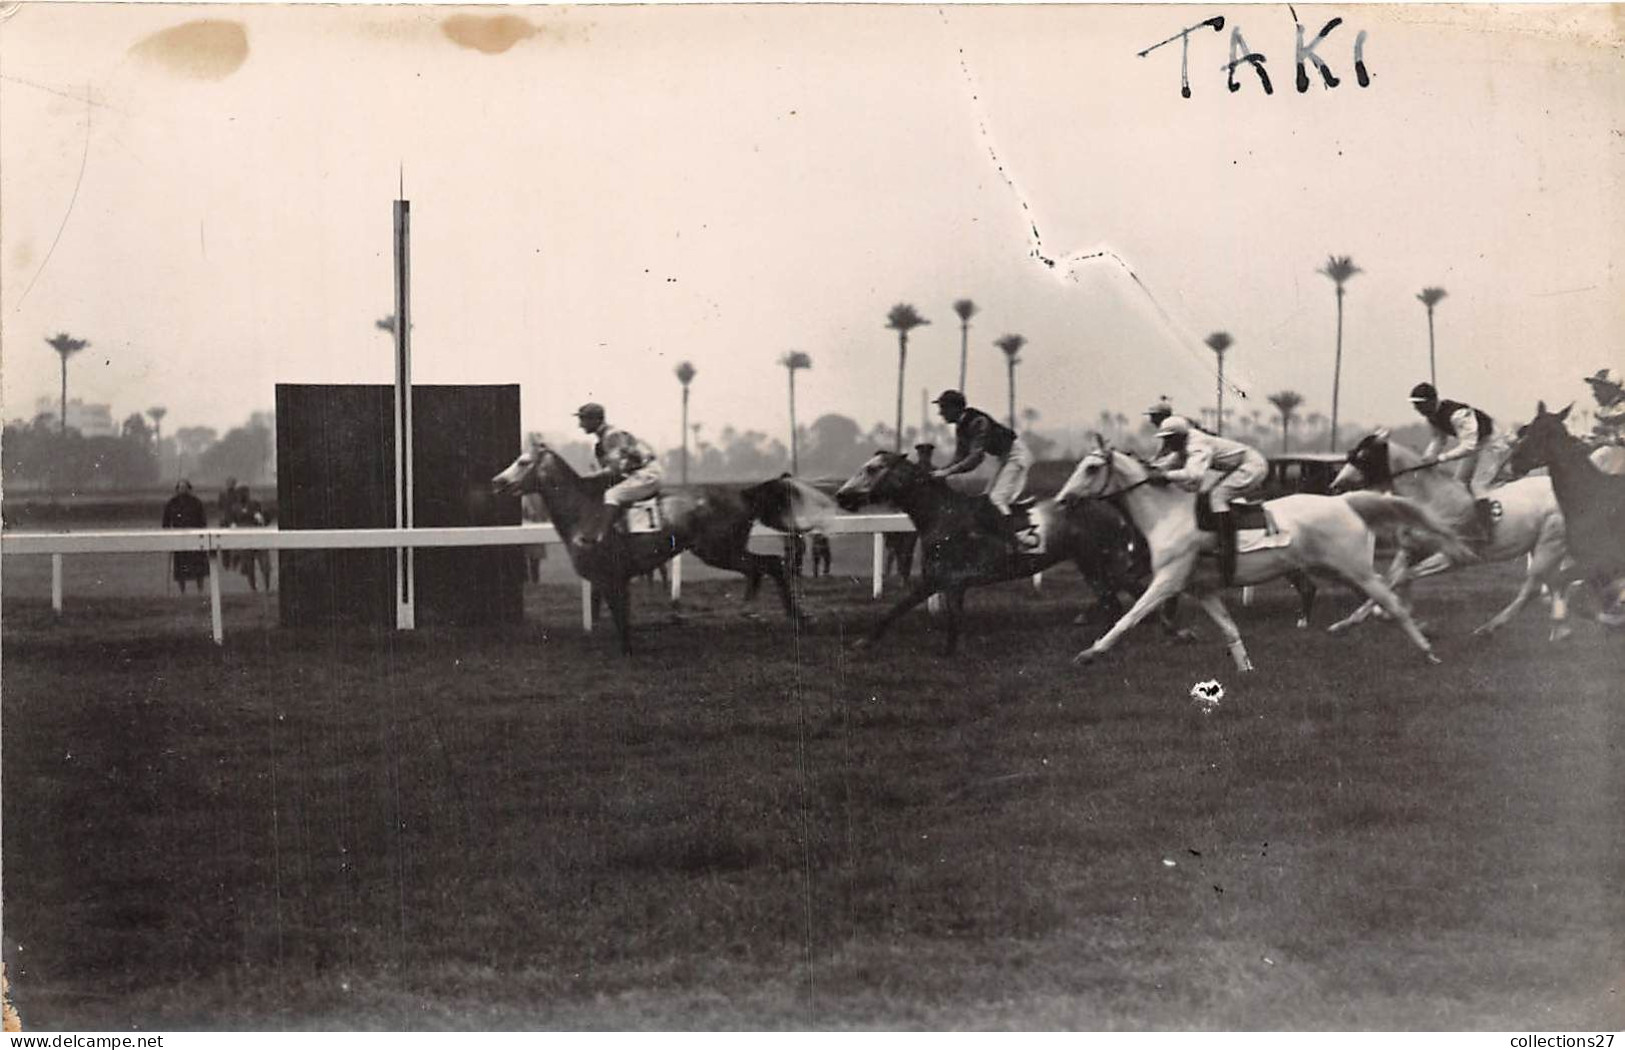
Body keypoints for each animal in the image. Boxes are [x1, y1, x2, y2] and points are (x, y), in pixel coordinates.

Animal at [487, 438, 832, 653]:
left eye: (523, 462)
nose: (497, 481)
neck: (584, 510)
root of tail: (744, 492)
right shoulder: (610, 578)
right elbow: (618, 614)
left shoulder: (611, 575)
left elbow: (621, 615)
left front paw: (628, 649)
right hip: (723, 551)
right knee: (762, 567)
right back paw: (758, 610)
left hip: (719, 550)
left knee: (772, 563)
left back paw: (798, 616)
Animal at [838, 451, 1170, 656]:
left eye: (872, 469)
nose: (842, 496)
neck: (942, 515)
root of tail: (1112, 506)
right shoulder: (945, 581)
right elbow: (929, 616)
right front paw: (946, 652)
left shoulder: (945, 579)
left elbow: (904, 610)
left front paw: (864, 641)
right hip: (1091, 566)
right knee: (1116, 601)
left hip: (1105, 563)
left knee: (1137, 595)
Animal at [1053, 442, 1475, 676]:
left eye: (1092, 467)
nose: (1061, 500)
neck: (1168, 513)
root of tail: (1343, 501)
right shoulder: (1201, 589)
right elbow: (1229, 629)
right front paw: (1245, 669)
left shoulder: (1168, 579)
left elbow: (1131, 615)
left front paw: (1091, 652)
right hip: (1336, 570)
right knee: (1381, 593)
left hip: (1353, 569)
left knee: (1390, 598)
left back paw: (1426, 650)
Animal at [1332, 429, 1573, 640]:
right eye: (1351, 453)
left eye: (1363, 456)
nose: (1336, 485)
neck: (1430, 498)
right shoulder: (1411, 549)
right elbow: (1389, 580)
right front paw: (1347, 622)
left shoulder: (1454, 557)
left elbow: (1402, 577)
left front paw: (1402, 616)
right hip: (1545, 547)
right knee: (1554, 581)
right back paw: (1560, 631)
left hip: (1551, 543)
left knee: (1532, 588)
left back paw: (1489, 628)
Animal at [1501, 399, 1625, 620]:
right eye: (1527, 429)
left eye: (1547, 434)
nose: (1511, 465)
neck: (1592, 497)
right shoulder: (1590, 566)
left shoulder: (1602, 562)